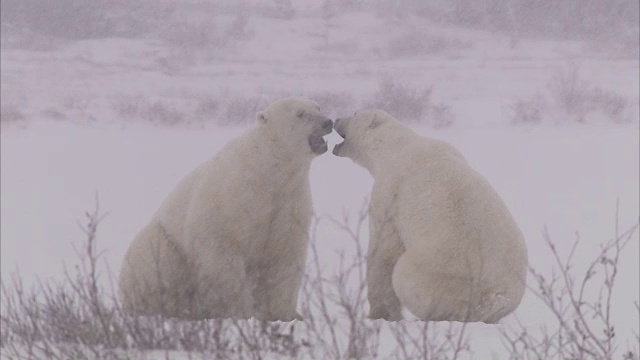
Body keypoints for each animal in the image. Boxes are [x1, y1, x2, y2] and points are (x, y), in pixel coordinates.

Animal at [117, 96, 332, 320]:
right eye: (300, 114)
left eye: (318, 107)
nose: (328, 122)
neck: (268, 171)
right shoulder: (232, 199)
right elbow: (223, 254)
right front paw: (240, 313)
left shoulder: (289, 201)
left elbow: (284, 255)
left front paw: (287, 314)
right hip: (162, 241)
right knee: (158, 260)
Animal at [332, 109, 528, 324]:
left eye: (354, 113)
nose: (336, 119)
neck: (394, 146)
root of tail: (491, 297)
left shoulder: (388, 192)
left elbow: (384, 251)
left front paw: (380, 314)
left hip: (440, 280)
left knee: (404, 276)